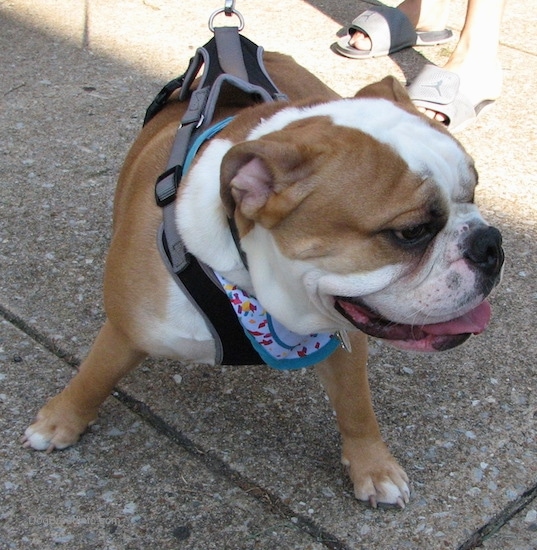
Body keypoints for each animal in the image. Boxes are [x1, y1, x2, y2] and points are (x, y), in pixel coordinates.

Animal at [23, 54, 502, 512]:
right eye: (411, 232)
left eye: (474, 194)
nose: (490, 244)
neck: (251, 280)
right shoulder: (128, 329)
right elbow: (94, 376)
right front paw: (60, 422)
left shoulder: (343, 335)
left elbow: (357, 407)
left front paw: (374, 467)